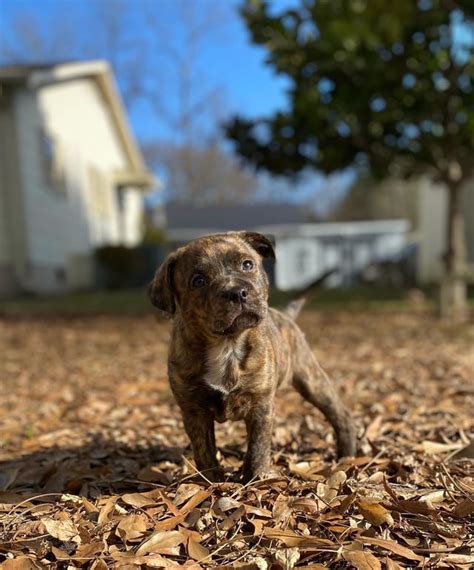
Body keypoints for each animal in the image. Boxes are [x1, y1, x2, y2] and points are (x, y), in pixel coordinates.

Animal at [148, 231, 356, 480]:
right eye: (198, 281)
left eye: (247, 264)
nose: (236, 293)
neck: (227, 345)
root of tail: (285, 316)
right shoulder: (194, 410)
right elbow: (204, 450)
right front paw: (212, 481)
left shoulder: (260, 405)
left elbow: (258, 447)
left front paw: (254, 478)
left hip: (311, 380)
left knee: (340, 414)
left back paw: (348, 453)